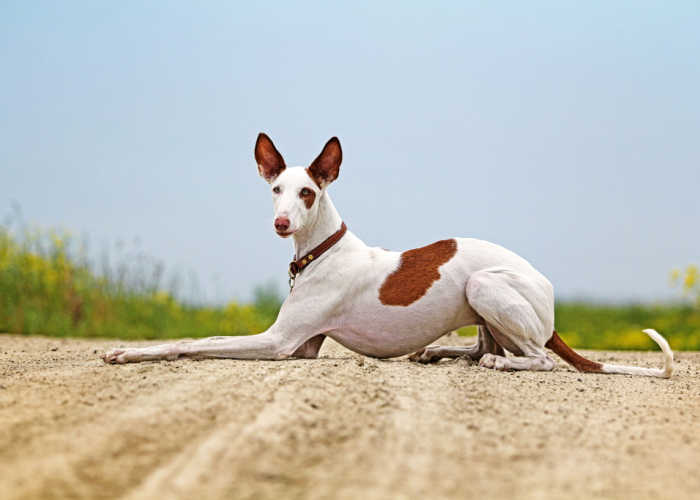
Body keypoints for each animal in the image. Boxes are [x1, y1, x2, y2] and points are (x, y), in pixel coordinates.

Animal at [102, 135, 672, 376]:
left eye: (308, 192)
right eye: (276, 189)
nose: (281, 223)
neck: (322, 251)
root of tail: (548, 295)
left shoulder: (281, 343)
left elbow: (192, 343)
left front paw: (126, 353)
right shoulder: (303, 346)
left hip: (485, 286)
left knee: (535, 359)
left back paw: (497, 362)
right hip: (482, 307)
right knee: (482, 347)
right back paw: (440, 352)